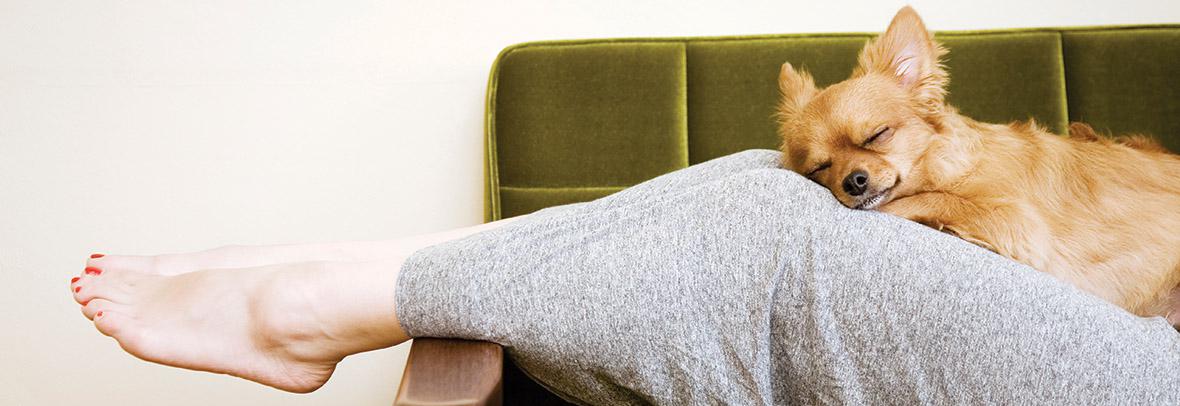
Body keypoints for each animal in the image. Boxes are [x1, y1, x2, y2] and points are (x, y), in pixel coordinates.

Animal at [774, 6, 1180, 323]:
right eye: (820, 168)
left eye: (877, 135)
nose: (852, 181)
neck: (947, 166)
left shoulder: (1018, 223)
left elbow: (930, 200)